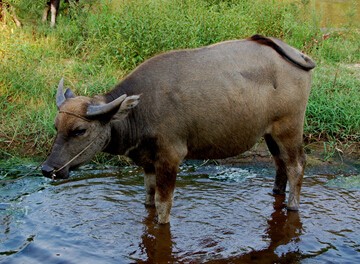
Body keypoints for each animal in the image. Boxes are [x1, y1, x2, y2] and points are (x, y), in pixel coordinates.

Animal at [42, 35, 316, 224]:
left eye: (79, 130)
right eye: (56, 126)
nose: (47, 169)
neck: (140, 111)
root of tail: (295, 54)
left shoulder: (170, 157)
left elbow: (163, 205)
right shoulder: (148, 162)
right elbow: (148, 197)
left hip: (289, 127)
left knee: (296, 165)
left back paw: (292, 206)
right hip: (270, 133)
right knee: (280, 164)